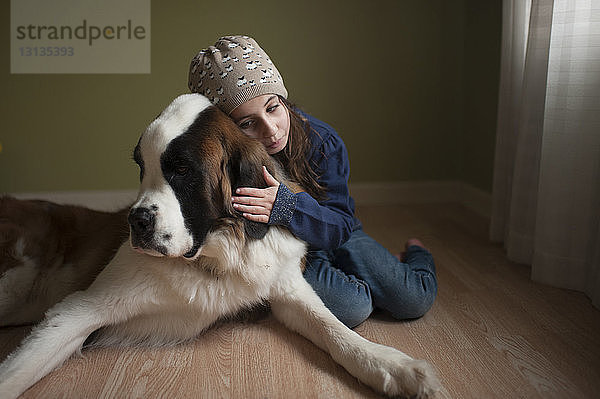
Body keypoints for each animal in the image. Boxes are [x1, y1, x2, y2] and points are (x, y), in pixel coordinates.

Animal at [0, 94, 440, 396]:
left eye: (181, 170)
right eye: (142, 168)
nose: (136, 222)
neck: (216, 256)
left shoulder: (284, 287)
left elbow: (334, 329)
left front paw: (397, 368)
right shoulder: (81, 309)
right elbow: (18, 372)